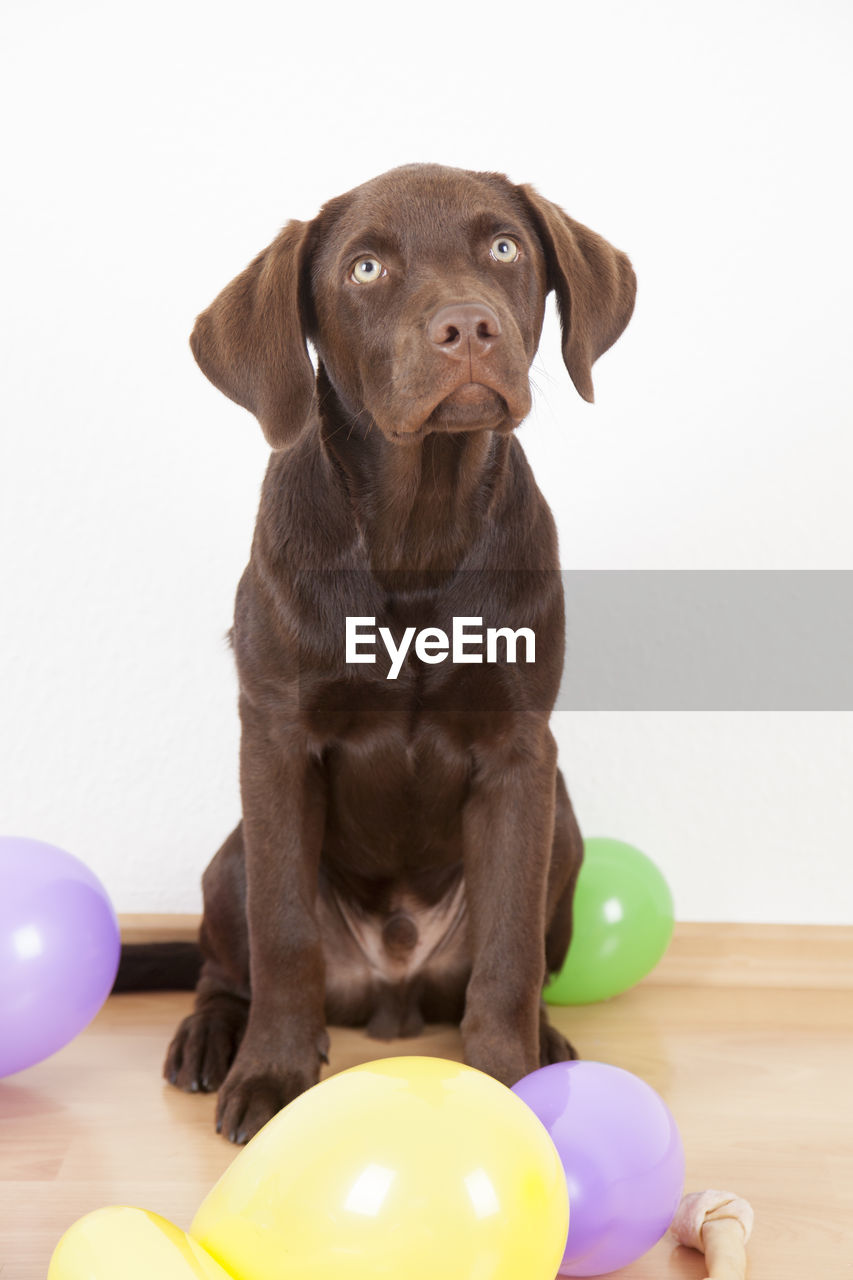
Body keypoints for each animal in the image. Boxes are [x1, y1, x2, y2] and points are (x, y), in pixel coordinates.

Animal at [163, 162, 630, 1141]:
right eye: (366, 268)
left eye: (505, 247)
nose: (467, 327)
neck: (418, 534)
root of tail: (393, 989)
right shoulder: (274, 740)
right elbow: (284, 934)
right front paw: (272, 1074)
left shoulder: (519, 755)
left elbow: (506, 951)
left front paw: (511, 1078)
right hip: (232, 850)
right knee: (228, 964)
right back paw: (213, 1036)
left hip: (563, 823)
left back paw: (547, 1039)